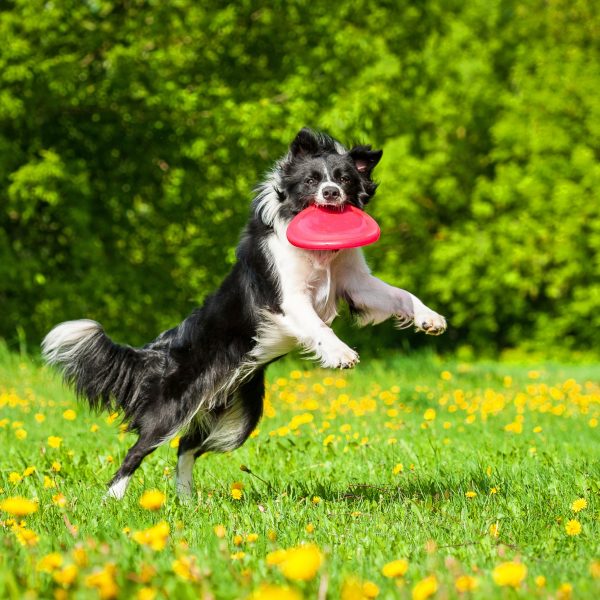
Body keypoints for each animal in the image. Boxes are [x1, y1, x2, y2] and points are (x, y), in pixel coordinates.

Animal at [41, 129, 446, 500]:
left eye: (345, 178)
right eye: (312, 180)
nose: (331, 193)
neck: (322, 257)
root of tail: (158, 351)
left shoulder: (356, 283)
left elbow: (400, 296)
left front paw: (430, 319)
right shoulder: (288, 298)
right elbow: (317, 325)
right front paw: (340, 353)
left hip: (238, 415)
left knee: (186, 447)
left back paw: (186, 500)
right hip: (175, 406)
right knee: (138, 450)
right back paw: (114, 500)